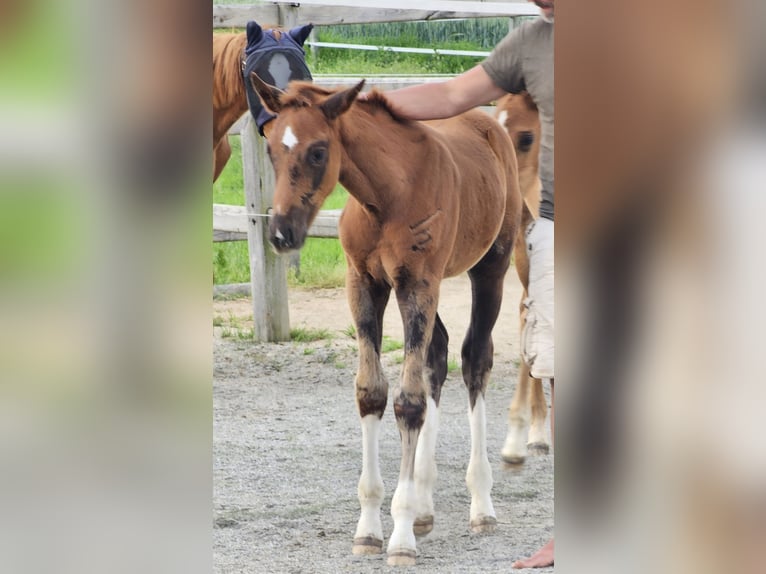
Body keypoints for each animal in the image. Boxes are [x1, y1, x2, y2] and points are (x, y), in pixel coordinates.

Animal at [254, 79, 528, 568]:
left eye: (319, 151)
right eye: (270, 147)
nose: (282, 233)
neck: (386, 198)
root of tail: (490, 122)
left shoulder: (417, 283)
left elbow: (409, 401)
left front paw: (399, 535)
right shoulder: (365, 285)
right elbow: (373, 392)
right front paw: (370, 528)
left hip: (490, 268)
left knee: (474, 360)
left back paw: (481, 504)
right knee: (437, 355)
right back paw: (424, 505)